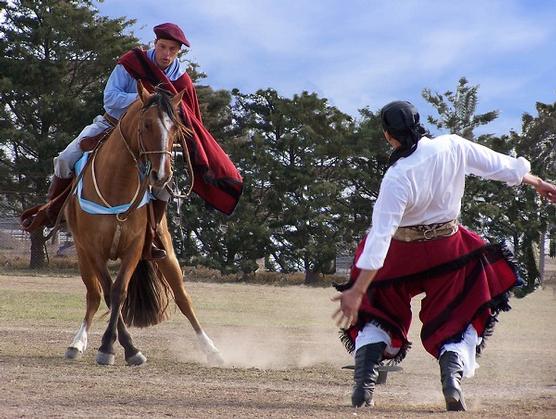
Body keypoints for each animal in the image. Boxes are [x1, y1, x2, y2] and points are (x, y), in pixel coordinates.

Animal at [64, 83, 222, 368]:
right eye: (147, 124)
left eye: (175, 129)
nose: (162, 174)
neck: (116, 186)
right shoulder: (93, 250)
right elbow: (108, 293)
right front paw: (112, 347)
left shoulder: (135, 248)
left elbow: (119, 292)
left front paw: (122, 348)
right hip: (82, 256)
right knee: (93, 295)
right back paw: (77, 343)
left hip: (166, 251)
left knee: (183, 298)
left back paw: (211, 348)